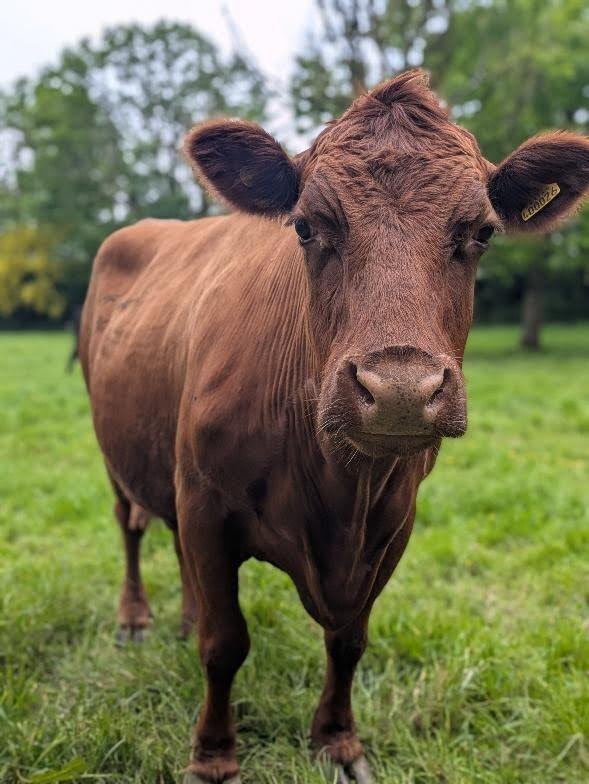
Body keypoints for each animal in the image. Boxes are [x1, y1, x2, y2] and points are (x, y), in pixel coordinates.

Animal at [79, 70, 589, 783]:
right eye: (305, 226)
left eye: (482, 232)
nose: (400, 391)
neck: (335, 490)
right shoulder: (207, 500)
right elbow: (224, 643)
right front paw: (213, 754)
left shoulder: (393, 521)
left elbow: (349, 640)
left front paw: (338, 742)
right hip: (116, 453)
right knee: (129, 526)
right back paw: (136, 619)